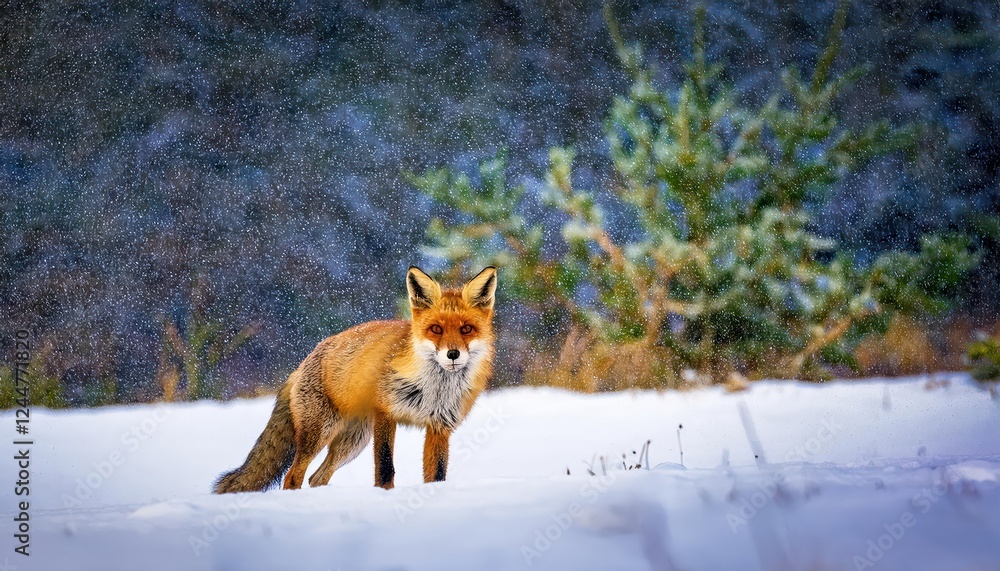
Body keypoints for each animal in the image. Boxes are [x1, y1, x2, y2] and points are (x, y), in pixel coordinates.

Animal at [213, 266, 497, 493]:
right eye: (436, 329)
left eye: (466, 329)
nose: (452, 354)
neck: (435, 389)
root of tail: (303, 362)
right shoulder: (385, 414)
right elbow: (385, 467)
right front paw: (383, 495)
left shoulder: (439, 426)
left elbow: (437, 474)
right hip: (320, 433)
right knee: (293, 477)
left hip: (352, 442)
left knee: (317, 478)